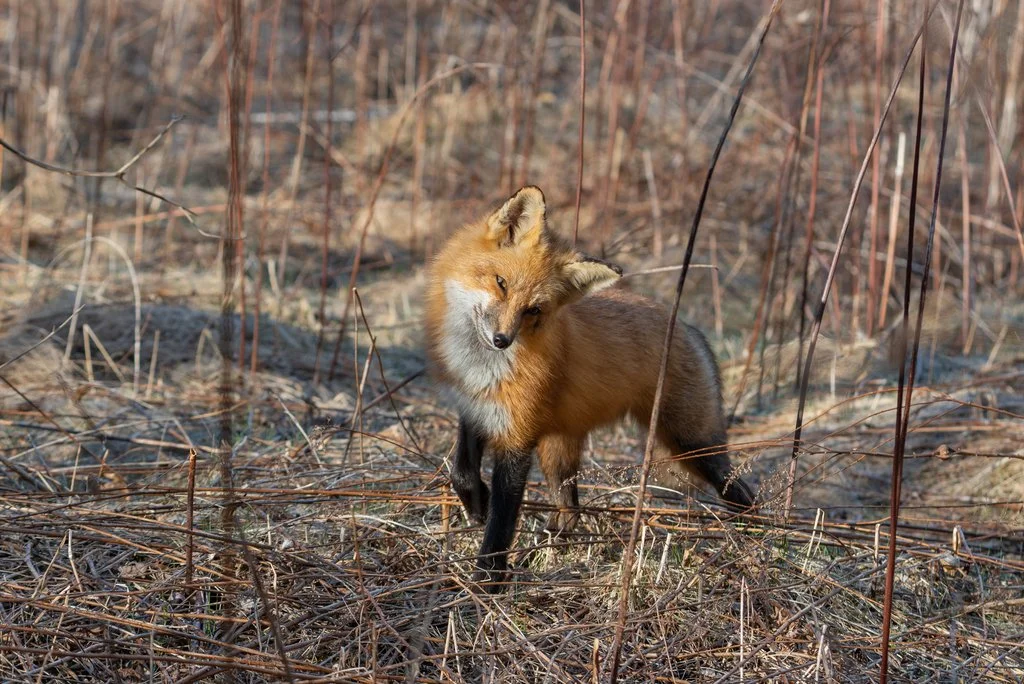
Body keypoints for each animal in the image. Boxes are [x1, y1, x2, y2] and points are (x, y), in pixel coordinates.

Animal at [425, 185, 754, 590]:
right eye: (500, 282)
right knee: (571, 511)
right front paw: (477, 504)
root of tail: (689, 327)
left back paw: (759, 539)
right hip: (559, 453)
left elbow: (501, 526)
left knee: (743, 495)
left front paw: (488, 583)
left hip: (692, 445)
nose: (502, 340)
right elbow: (462, 472)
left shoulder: (518, 437)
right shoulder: (475, 409)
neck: (482, 367)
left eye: (533, 310)